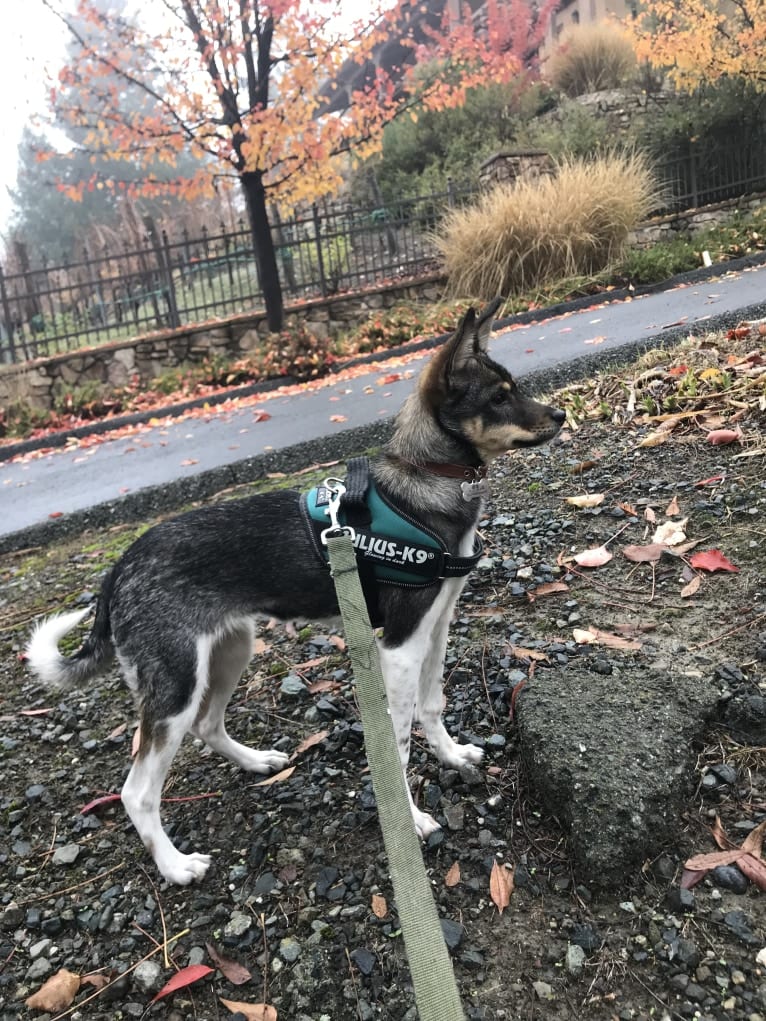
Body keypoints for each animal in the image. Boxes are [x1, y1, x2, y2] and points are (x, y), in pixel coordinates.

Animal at [25, 298, 563, 882]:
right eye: (499, 397)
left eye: (514, 387)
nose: (559, 416)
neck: (426, 485)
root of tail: (119, 568)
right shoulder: (399, 647)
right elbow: (398, 743)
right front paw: (413, 819)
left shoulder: (436, 628)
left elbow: (433, 704)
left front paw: (451, 755)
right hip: (175, 686)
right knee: (137, 792)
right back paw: (175, 865)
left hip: (232, 648)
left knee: (208, 725)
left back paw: (255, 762)